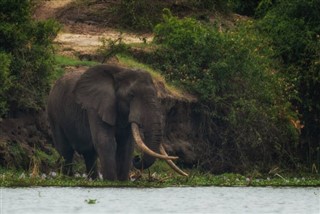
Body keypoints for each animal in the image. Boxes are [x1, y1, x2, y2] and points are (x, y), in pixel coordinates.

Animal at [47, 64, 188, 181]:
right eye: (131, 95)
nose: (137, 158)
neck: (120, 72)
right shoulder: (95, 108)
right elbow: (105, 142)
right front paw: (111, 181)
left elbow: (126, 145)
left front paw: (122, 181)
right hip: (54, 113)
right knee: (66, 151)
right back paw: (67, 178)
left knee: (89, 154)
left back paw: (92, 180)